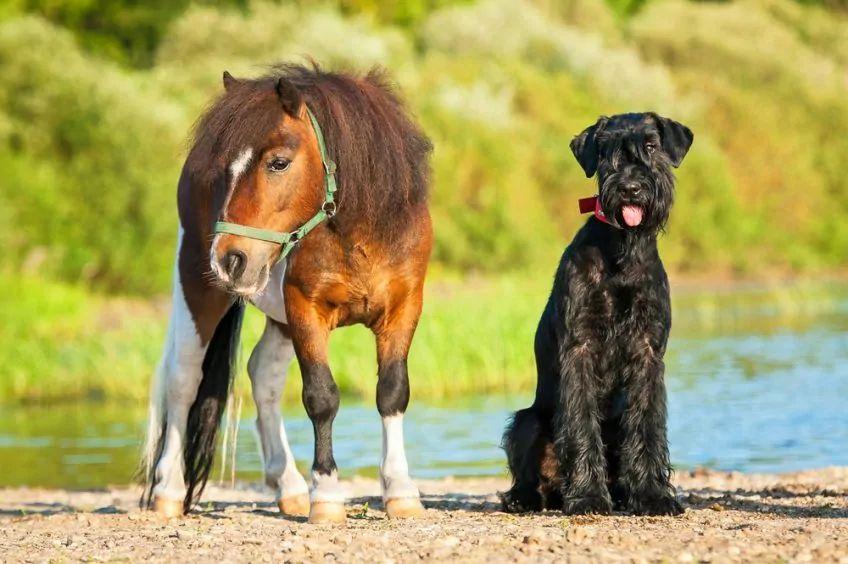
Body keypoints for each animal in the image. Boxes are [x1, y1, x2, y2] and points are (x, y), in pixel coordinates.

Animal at [500, 111, 692, 516]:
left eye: (651, 145)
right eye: (606, 152)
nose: (631, 188)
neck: (623, 251)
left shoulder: (648, 350)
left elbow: (646, 423)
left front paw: (652, 495)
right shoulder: (580, 348)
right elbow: (581, 423)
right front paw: (588, 496)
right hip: (527, 422)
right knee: (527, 468)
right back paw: (525, 498)